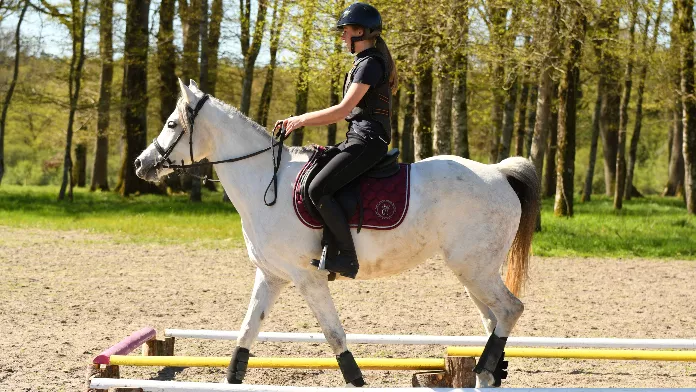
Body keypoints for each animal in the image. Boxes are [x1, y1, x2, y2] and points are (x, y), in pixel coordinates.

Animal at [135, 79, 540, 386]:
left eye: (172, 125)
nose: (141, 164)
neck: (265, 181)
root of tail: (497, 172)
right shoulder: (271, 276)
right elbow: (246, 334)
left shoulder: (308, 277)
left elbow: (334, 335)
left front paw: (356, 379)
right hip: (473, 273)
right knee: (493, 320)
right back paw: (488, 375)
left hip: (474, 269)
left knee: (510, 310)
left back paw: (484, 369)